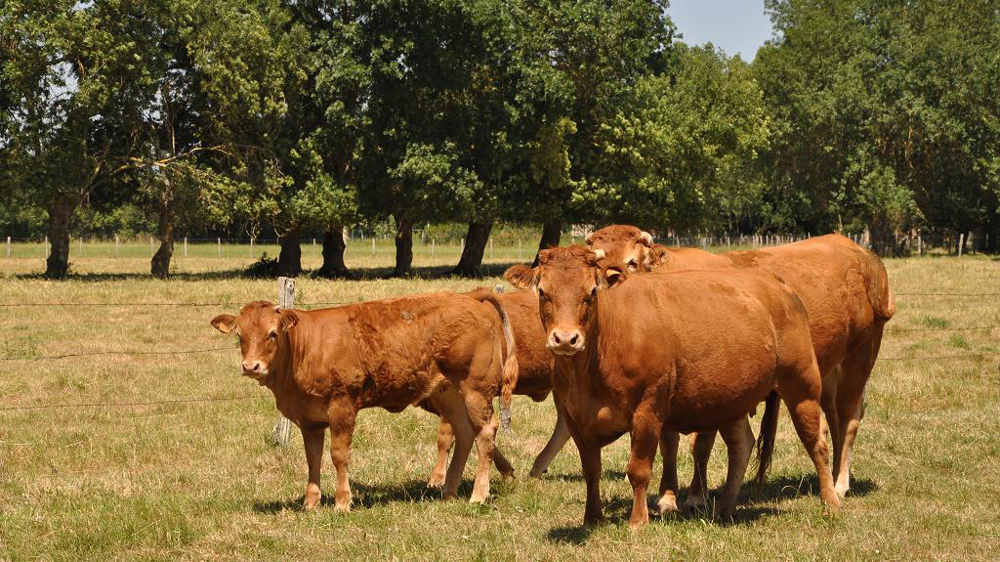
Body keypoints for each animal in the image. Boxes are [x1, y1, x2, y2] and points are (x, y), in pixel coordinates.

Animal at [210, 291, 518, 510]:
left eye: (273, 333)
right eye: (240, 336)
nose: (251, 367)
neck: (305, 348)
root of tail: (471, 299)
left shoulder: (342, 405)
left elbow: (338, 455)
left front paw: (342, 501)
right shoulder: (310, 420)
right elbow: (313, 458)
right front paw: (311, 502)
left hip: (476, 389)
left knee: (485, 433)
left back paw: (478, 494)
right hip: (449, 394)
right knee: (465, 433)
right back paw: (449, 492)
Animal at [506, 246, 840, 527]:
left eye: (591, 293)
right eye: (543, 292)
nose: (565, 339)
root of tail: (774, 281)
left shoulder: (648, 409)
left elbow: (638, 470)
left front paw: (638, 521)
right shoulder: (576, 418)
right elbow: (592, 471)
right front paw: (592, 518)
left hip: (802, 384)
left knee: (816, 441)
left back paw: (831, 503)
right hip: (732, 399)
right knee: (741, 446)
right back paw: (725, 508)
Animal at [584, 225, 894, 509]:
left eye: (632, 261)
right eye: (596, 263)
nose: (611, 280)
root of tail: (860, 252)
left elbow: (700, 444)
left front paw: (696, 495)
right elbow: (668, 443)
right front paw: (668, 496)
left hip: (859, 357)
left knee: (849, 417)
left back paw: (839, 485)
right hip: (827, 372)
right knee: (833, 419)